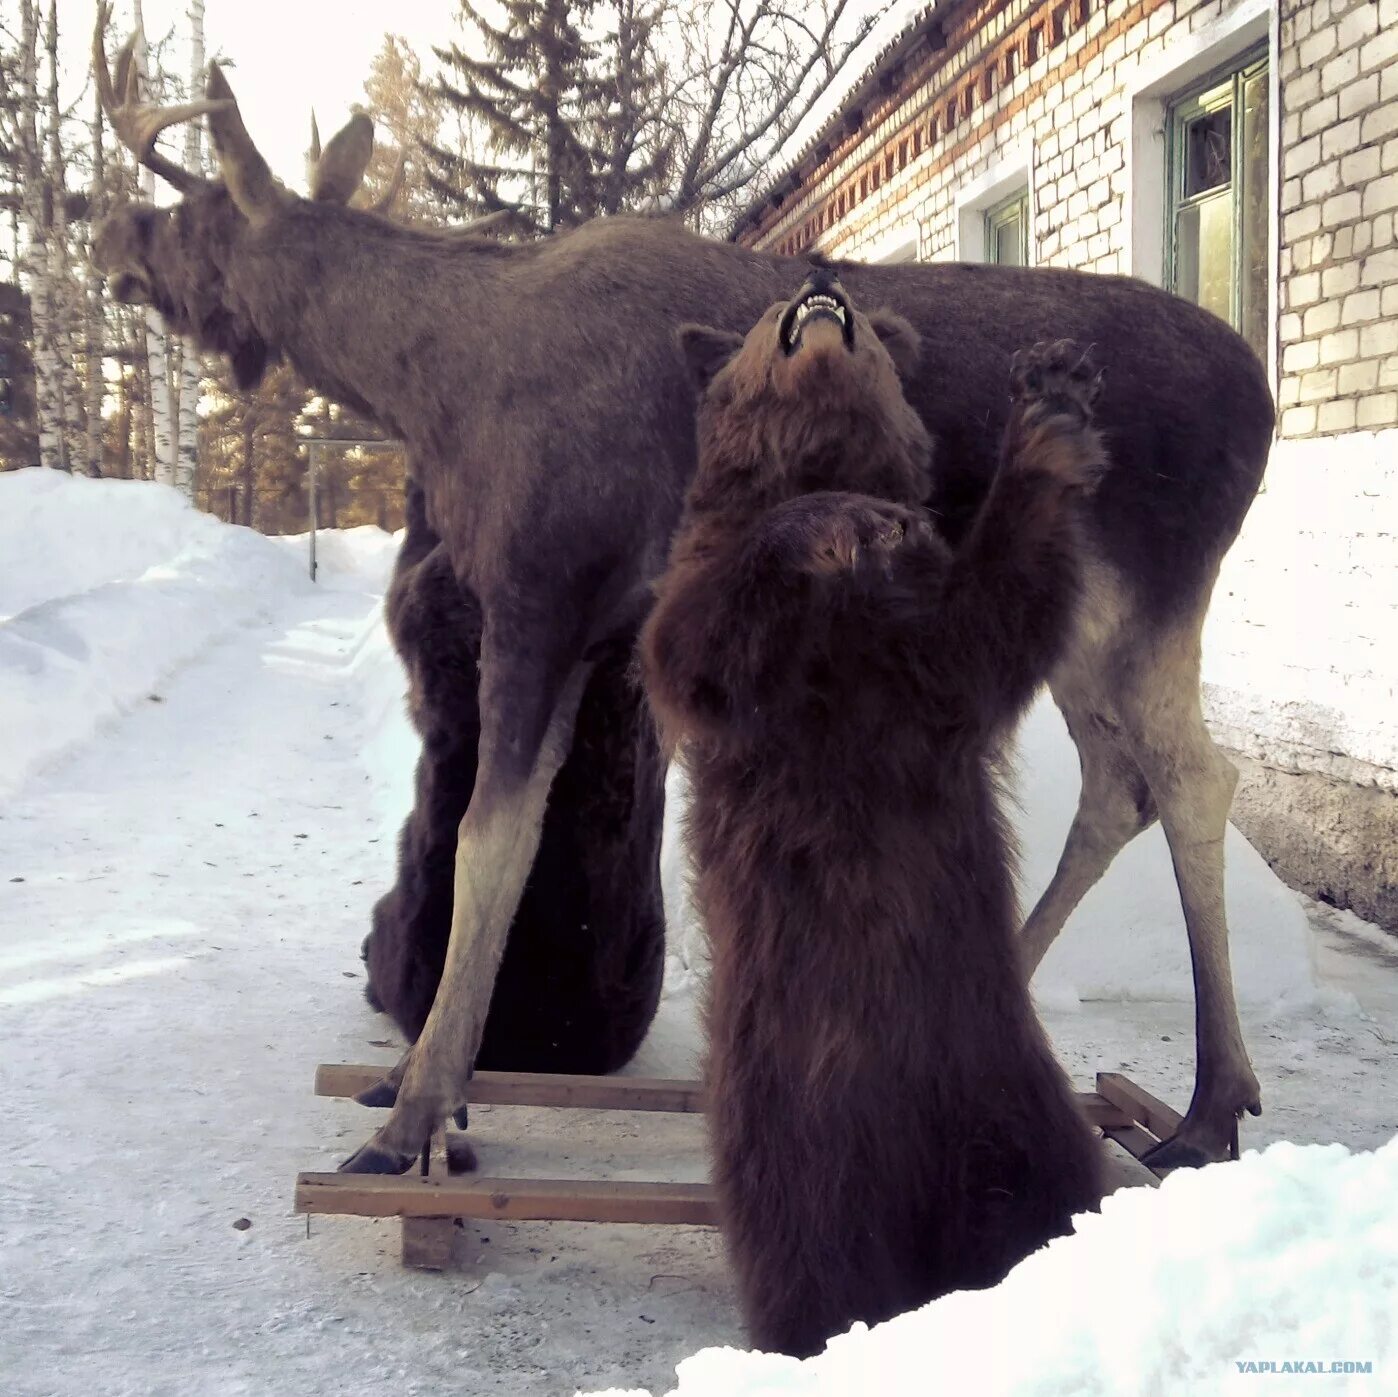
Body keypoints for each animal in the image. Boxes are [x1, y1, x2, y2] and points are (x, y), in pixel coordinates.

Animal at [92, 19, 1280, 1180]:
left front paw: (413, 1112)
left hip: (1151, 591)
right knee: (1118, 783)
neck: (432, 382)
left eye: (194, 212)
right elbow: (512, 835)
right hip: (1081, 624)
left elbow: (487, 840)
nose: (108, 238)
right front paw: (424, 1083)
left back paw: (1209, 1105)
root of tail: (1263, 401)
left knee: (1194, 777)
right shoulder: (588, 626)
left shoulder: (537, 584)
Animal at [643, 269, 1112, 1353]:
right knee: (811, 1252)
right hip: (789, 1135)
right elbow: (693, 643)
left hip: (1017, 1090)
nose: (821, 282)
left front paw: (1055, 397)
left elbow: (995, 619)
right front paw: (830, 518)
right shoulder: (716, 610)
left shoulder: (921, 655)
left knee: (1053, 1187)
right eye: (761, 320)